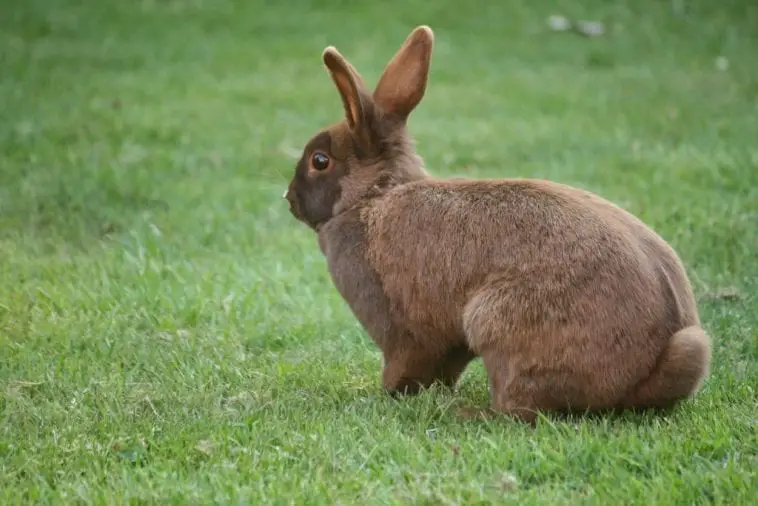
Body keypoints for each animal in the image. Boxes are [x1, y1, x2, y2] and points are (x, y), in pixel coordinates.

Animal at [283, 25, 711, 423]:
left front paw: (387, 394)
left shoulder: (401, 328)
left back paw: (470, 414)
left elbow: (406, 363)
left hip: (495, 323)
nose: (289, 199)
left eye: (320, 161)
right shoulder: (446, 344)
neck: (371, 197)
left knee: (519, 407)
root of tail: (645, 373)